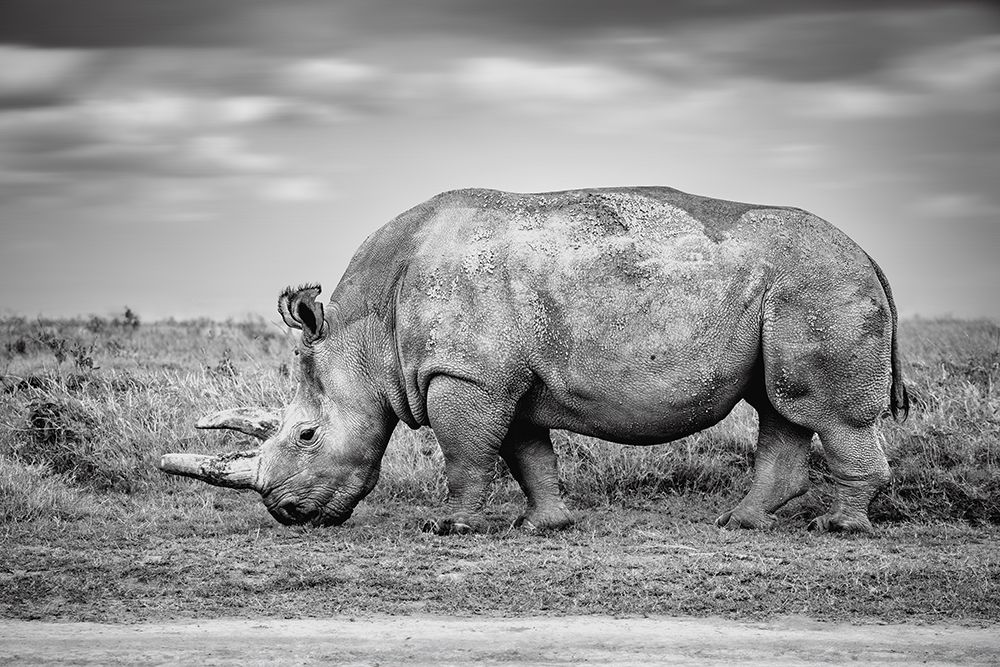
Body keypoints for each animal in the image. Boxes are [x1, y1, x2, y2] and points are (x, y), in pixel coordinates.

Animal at [160, 187, 908, 533]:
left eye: (308, 435)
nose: (290, 513)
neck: (364, 333)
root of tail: (869, 253)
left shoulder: (463, 374)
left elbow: (466, 457)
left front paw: (449, 528)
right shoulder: (504, 379)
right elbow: (527, 453)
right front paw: (542, 525)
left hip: (819, 284)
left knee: (821, 410)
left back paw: (838, 528)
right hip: (794, 288)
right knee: (780, 406)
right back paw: (741, 523)